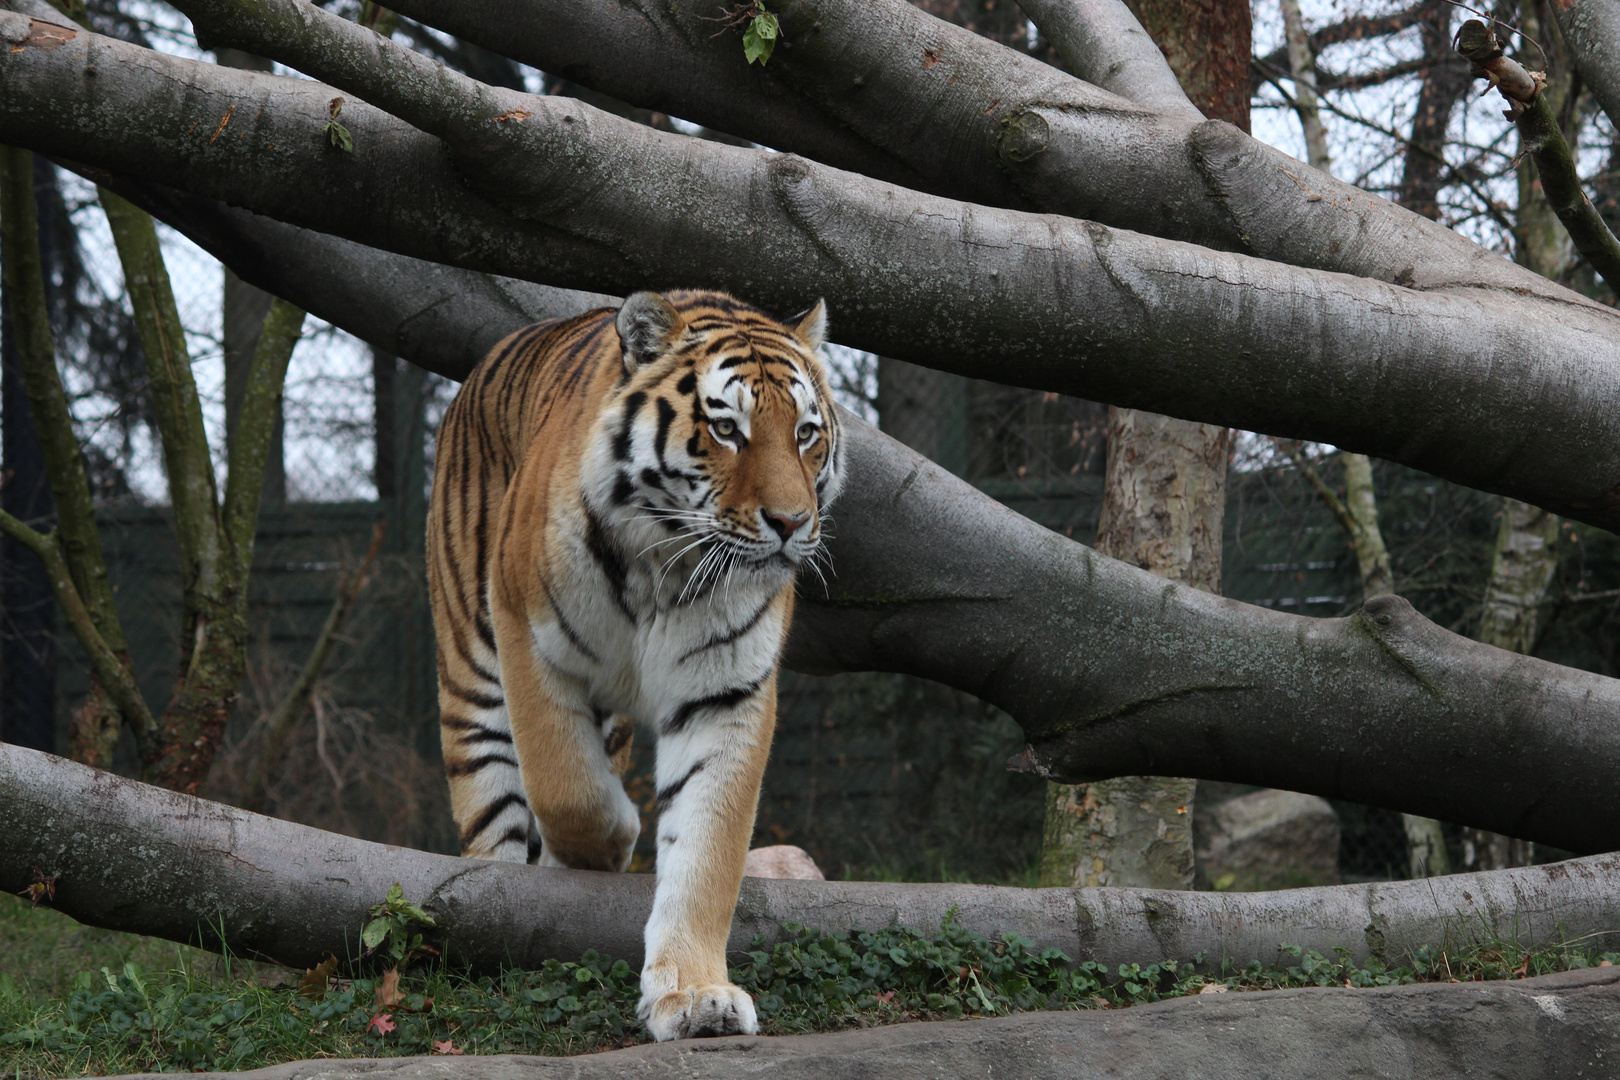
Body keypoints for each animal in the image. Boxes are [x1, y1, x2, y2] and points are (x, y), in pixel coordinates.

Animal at [424, 284, 842, 1036]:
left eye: (805, 433)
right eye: (728, 429)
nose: (793, 524)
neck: (666, 561)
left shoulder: (725, 693)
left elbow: (707, 852)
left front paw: (697, 994)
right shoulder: (526, 634)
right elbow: (565, 784)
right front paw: (610, 843)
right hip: (472, 668)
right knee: (495, 810)